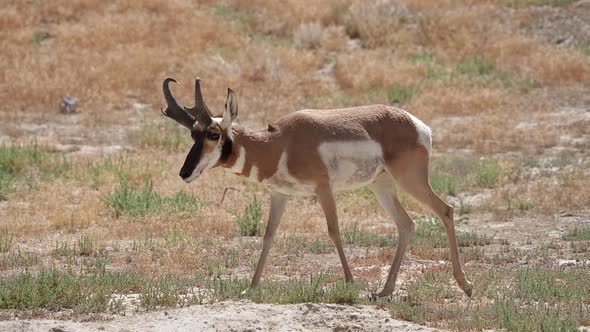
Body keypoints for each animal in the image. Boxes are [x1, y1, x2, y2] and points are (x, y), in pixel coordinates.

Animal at [163, 78, 476, 298]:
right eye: (193, 134)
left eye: (213, 134)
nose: (184, 173)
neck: (281, 143)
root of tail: (418, 124)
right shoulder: (280, 194)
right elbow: (268, 236)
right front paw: (250, 288)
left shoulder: (324, 189)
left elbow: (334, 231)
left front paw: (349, 282)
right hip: (382, 186)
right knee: (407, 224)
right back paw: (385, 290)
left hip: (410, 180)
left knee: (445, 210)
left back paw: (466, 285)